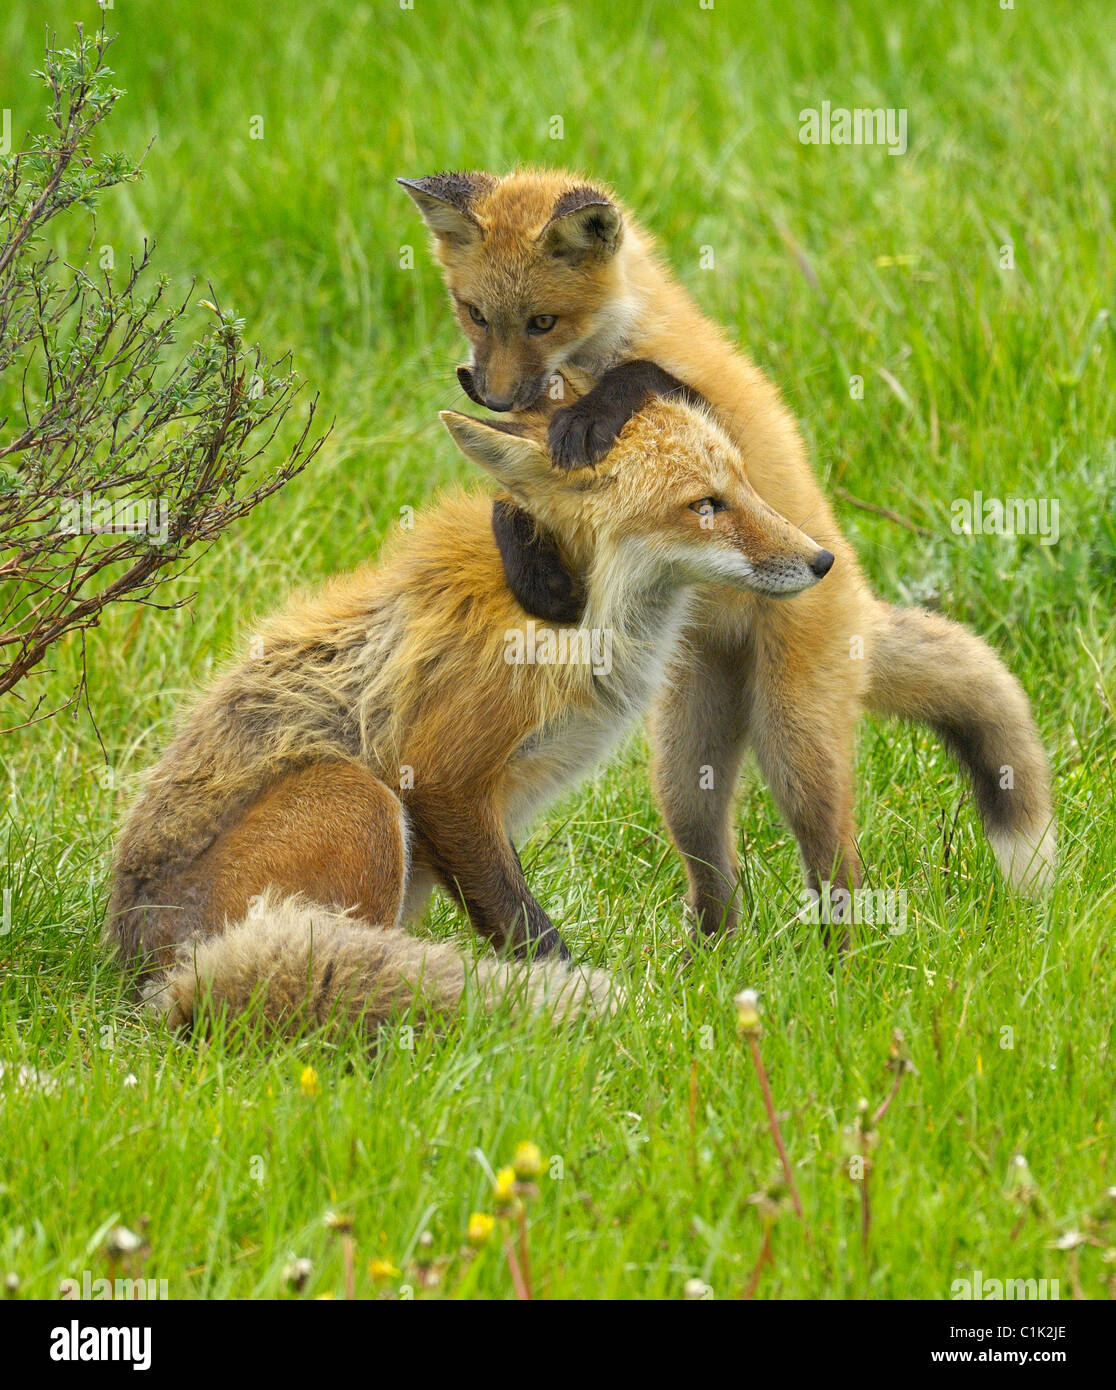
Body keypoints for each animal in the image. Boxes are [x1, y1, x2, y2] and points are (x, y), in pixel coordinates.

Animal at [107, 380, 828, 1034]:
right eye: (705, 505)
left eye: (746, 486)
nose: (822, 559)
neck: (571, 615)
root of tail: (153, 977)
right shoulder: (442, 781)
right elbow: (529, 929)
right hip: (360, 802)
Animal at [400, 170, 1056, 934]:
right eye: (474, 313)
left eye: (542, 322)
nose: (497, 395)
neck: (590, 362)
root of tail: (856, 596)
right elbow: (516, 502)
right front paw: (536, 572)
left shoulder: (706, 413)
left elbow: (646, 381)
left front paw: (595, 416)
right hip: (685, 769)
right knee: (715, 875)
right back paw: (708, 956)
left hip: (795, 745)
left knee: (838, 864)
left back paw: (842, 956)